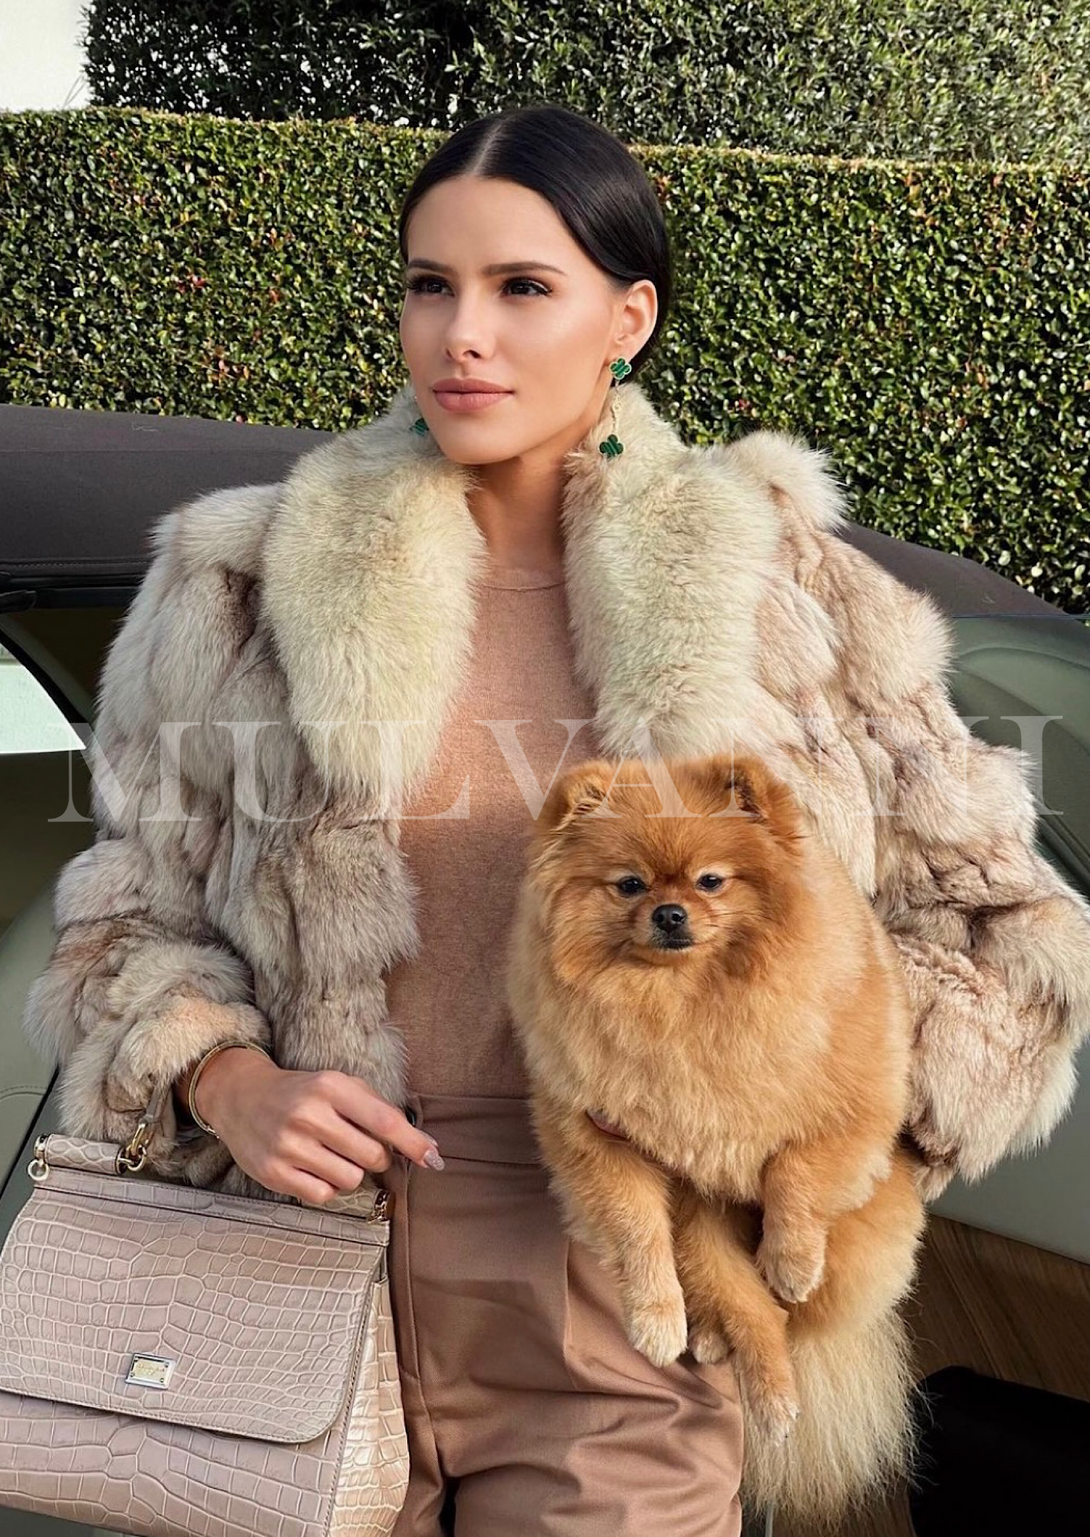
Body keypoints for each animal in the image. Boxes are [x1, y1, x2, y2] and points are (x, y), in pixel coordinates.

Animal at [507, 746, 922, 1524]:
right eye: (629, 884)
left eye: (710, 881)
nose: (670, 912)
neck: (684, 1001)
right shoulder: (599, 1138)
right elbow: (637, 1231)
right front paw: (657, 1319)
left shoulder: (854, 1108)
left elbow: (794, 1170)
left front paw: (791, 1255)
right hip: (703, 1234)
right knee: (750, 1313)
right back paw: (730, 1355)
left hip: (862, 1239)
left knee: (795, 1318)